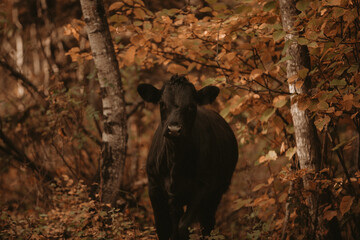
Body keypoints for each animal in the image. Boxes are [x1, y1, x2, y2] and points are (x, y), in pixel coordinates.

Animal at [136, 75, 238, 240]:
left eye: (191, 105)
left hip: (217, 192)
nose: (174, 129)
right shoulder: (154, 187)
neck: (175, 163)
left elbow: (183, 226)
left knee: (207, 222)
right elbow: (163, 227)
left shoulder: (203, 187)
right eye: (162, 104)